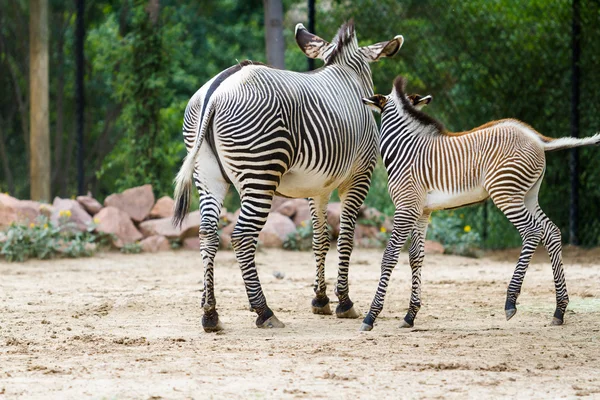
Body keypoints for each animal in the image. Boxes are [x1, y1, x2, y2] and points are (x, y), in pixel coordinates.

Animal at [173, 21, 404, 332]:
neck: (346, 72)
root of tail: (217, 89)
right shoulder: (358, 177)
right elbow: (345, 239)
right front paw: (344, 302)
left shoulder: (317, 188)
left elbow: (320, 239)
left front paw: (320, 299)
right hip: (259, 173)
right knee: (242, 236)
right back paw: (264, 311)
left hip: (208, 177)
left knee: (207, 233)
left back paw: (210, 313)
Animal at [358, 76, 596, 332]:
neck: (406, 150)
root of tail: (537, 138)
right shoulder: (422, 211)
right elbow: (416, 257)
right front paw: (410, 315)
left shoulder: (406, 207)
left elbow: (390, 256)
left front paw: (371, 316)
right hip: (528, 195)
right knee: (551, 231)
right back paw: (559, 310)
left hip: (506, 193)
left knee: (533, 232)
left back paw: (511, 302)